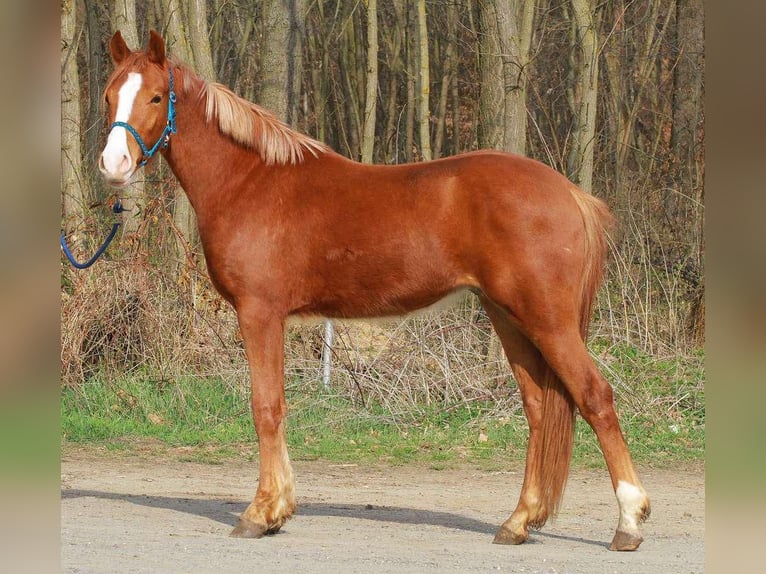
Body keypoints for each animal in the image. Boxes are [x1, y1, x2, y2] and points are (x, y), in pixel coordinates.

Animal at [98, 30, 650, 551]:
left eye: (154, 97)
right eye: (108, 96)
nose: (113, 165)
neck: (249, 180)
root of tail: (572, 194)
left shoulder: (259, 313)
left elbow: (266, 407)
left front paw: (261, 513)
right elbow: (277, 406)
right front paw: (279, 508)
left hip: (547, 320)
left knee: (595, 397)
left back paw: (628, 523)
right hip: (508, 317)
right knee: (539, 407)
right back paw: (517, 522)